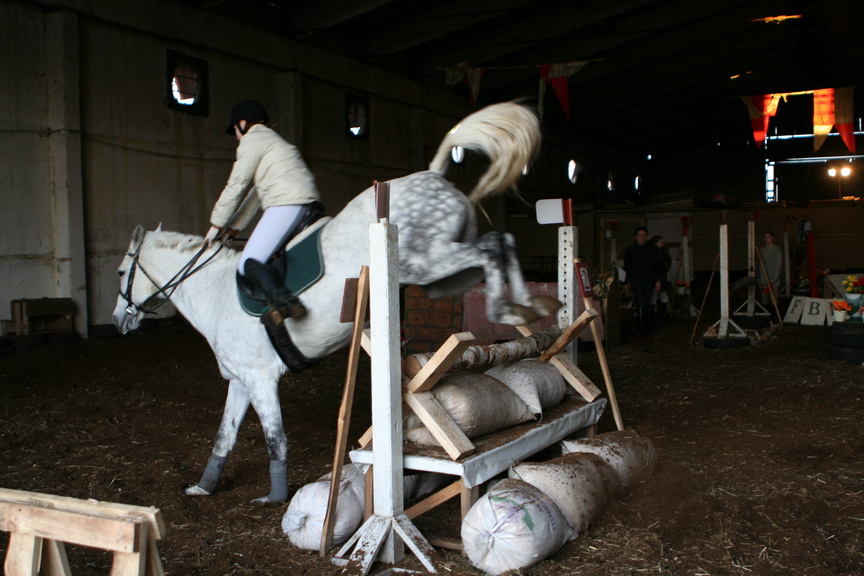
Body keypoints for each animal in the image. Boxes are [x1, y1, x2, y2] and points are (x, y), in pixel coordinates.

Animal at [113, 101, 558, 504]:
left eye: (119, 273)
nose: (119, 321)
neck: (216, 292)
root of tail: (431, 173)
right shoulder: (240, 380)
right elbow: (225, 435)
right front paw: (204, 486)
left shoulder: (260, 379)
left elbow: (275, 439)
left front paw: (275, 497)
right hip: (438, 277)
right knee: (499, 244)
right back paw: (527, 307)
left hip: (426, 261)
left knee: (493, 246)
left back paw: (512, 309)